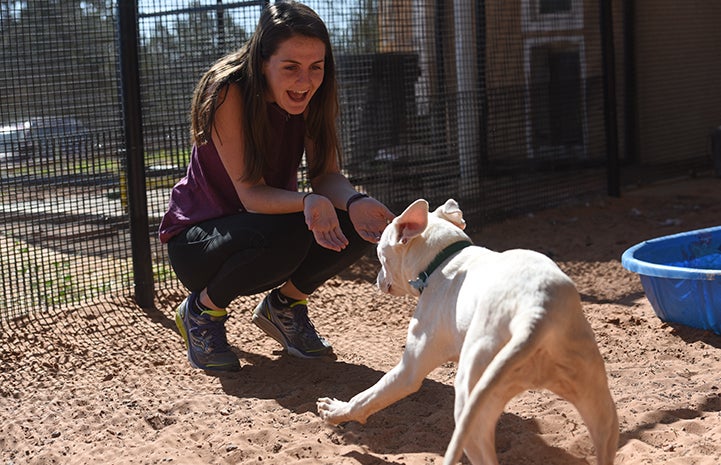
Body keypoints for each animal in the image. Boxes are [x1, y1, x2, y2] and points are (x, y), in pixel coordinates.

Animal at [316, 198, 620, 462]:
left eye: (381, 256)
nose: (378, 280)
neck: (442, 260)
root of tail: (535, 311)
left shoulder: (408, 370)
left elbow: (367, 397)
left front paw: (335, 410)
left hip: (471, 402)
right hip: (598, 404)